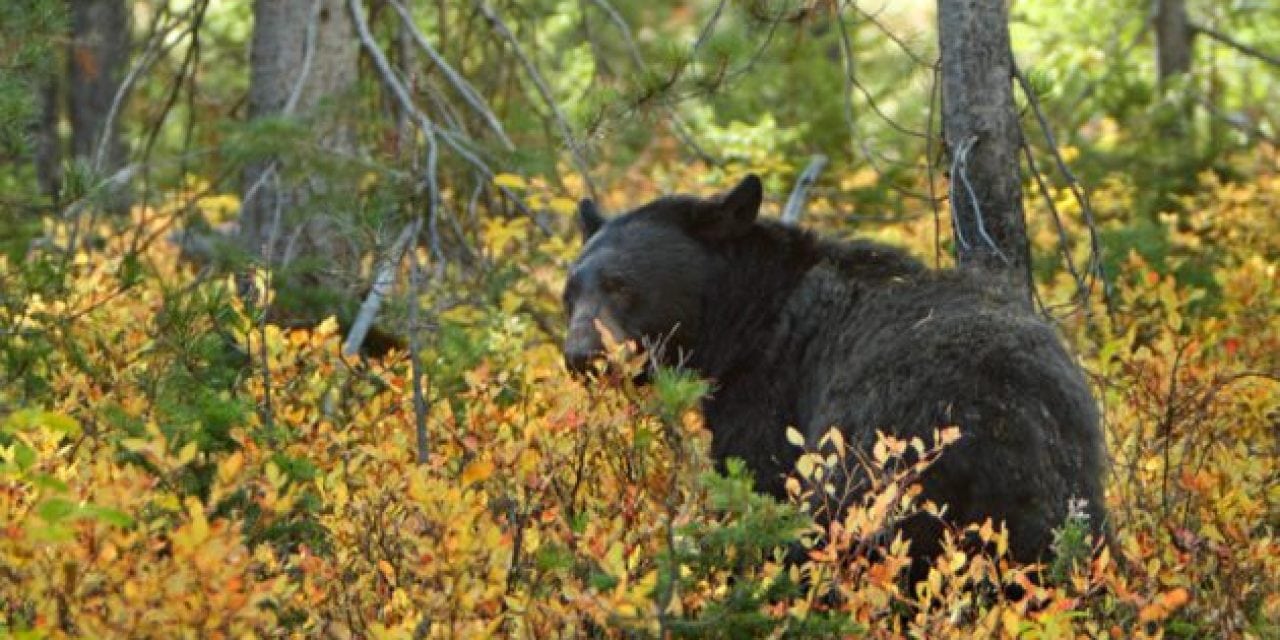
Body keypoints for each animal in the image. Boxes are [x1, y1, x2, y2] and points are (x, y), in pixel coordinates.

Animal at [565, 176, 1105, 576]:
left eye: (621, 285)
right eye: (571, 291)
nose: (581, 354)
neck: (746, 319)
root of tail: (1006, 423)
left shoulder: (770, 393)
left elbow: (756, 482)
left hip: (875, 469)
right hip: (1070, 498)